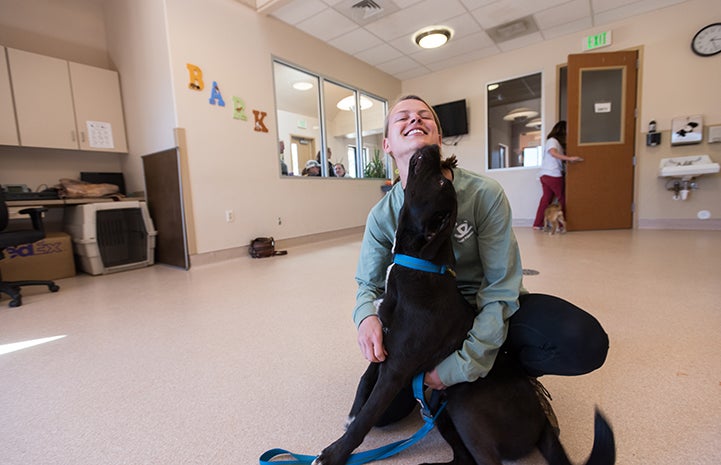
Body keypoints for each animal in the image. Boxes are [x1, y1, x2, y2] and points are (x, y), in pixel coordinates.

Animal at [310, 145, 612, 464]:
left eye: (441, 182)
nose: (432, 147)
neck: (417, 265)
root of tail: (544, 425)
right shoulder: (384, 345)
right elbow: (365, 382)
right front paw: (351, 414)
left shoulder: (396, 370)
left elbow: (369, 415)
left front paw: (334, 453)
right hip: (440, 405)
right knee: (463, 457)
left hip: (464, 401)